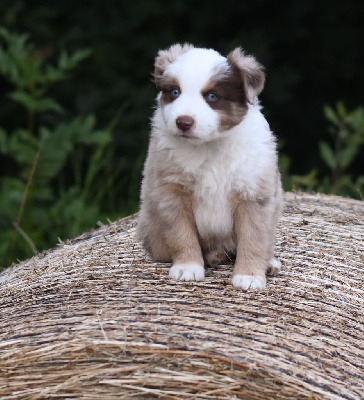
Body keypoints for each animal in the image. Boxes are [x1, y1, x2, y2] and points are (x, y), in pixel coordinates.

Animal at [138, 43, 282, 290]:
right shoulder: (171, 192)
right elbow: (181, 233)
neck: (209, 146)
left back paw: (268, 262)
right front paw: (188, 267)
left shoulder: (253, 193)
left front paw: (250, 276)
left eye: (212, 96)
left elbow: (253, 238)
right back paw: (214, 255)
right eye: (175, 92)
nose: (183, 122)